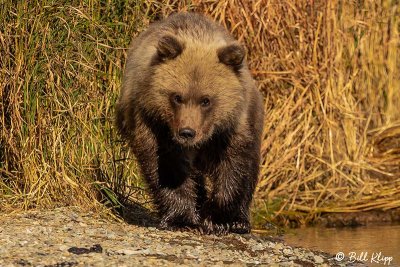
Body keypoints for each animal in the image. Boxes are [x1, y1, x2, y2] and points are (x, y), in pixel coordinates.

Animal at [115, 13, 264, 234]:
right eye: (177, 97)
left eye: (206, 100)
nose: (187, 132)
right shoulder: (153, 123)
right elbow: (167, 167)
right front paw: (182, 219)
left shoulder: (233, 126)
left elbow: (234, 165)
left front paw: (221, 220)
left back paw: (240, 220)